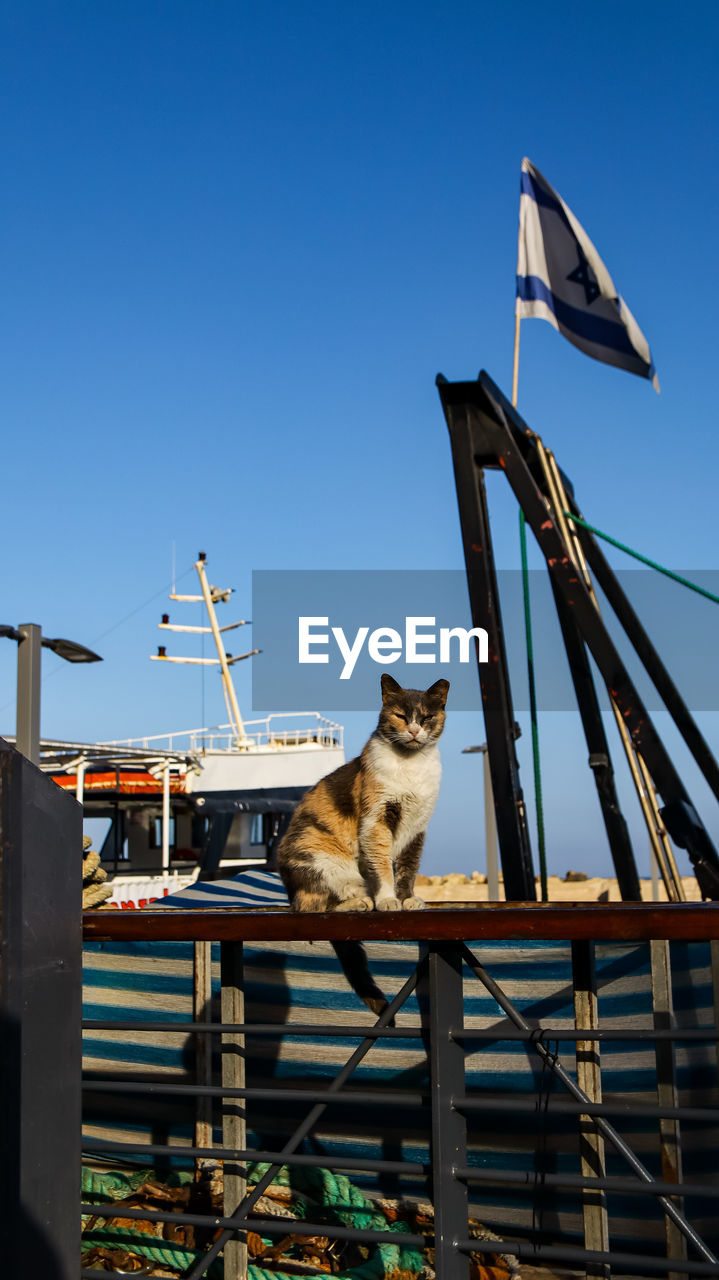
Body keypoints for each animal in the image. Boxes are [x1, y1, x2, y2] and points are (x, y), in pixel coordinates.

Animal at [277, 675, 445, 1013]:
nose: (414, 730)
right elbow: (383, 866)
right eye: (400, 716)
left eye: (427, 717)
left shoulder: (417, 828)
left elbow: (408, 868)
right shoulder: (376, 820)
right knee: (313, 908)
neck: (411, 766)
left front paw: (407, 899)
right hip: (322, 861)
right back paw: (363, 903)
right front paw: (389, 900)